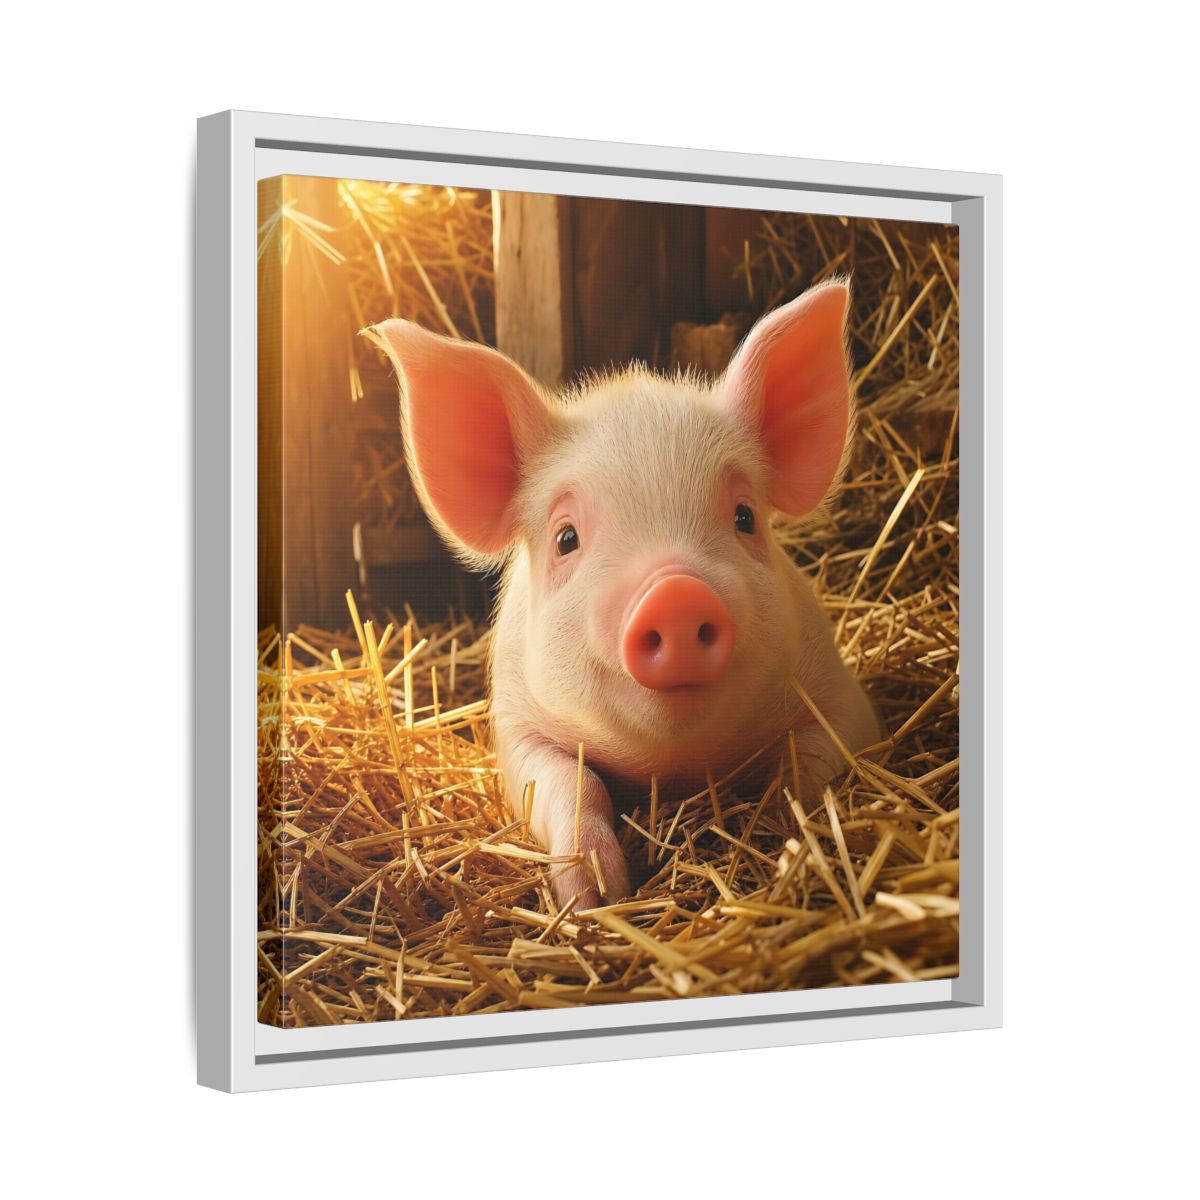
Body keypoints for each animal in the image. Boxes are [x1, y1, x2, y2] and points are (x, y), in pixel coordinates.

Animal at [366, 279, 879, 910]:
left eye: (745, 516)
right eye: (566, 538)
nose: (675, 593)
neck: (673, 766)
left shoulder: (840, 696)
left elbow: (808, 763)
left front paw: (784, 834)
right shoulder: (515, 725)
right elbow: (572, 783)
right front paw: (595, 898)